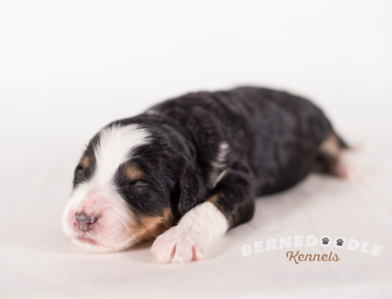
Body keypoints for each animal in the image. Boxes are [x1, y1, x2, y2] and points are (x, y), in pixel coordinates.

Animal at [62, 87, 356, 264]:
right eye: (81, 172)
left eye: (139, 185)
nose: (82, 218)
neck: (180, 125)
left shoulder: (239, 177)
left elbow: (207, 207)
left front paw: (180, 238)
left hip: (323, 125)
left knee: (336, 144)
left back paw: (349, 166)